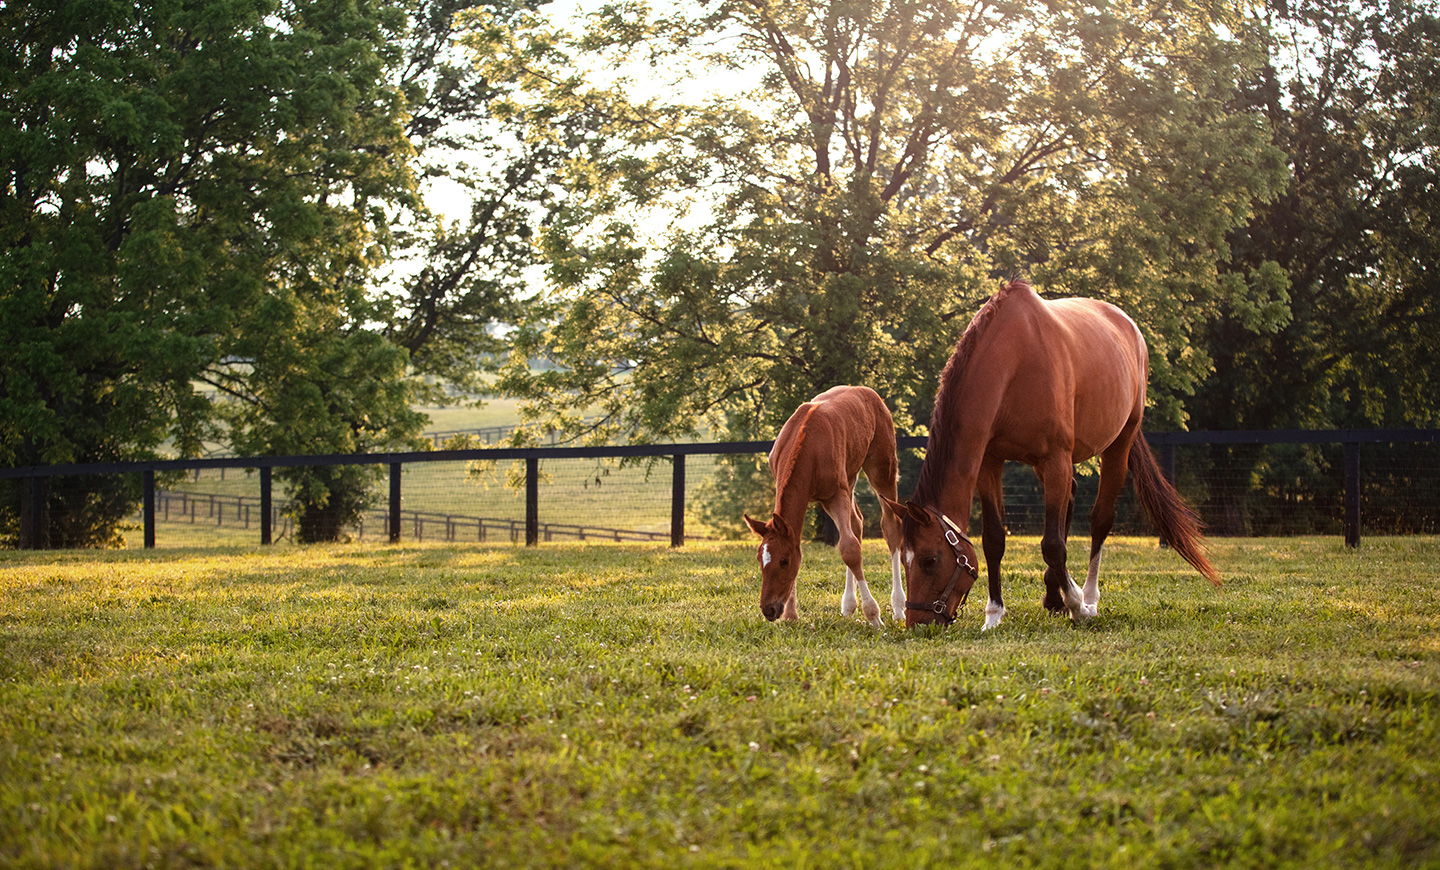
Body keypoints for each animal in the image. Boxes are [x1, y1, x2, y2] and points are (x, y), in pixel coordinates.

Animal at [748, 386, 904, 625]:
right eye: (759, 559)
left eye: (784, 561)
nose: (769, 610)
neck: (806, 444)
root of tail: (868, 392)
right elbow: (809, 542)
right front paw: (792, 615)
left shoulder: (835, 495)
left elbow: (849, 548)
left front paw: (874, 615)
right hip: (850, 476)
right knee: (856, 523)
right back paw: (848, 605)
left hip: (881, 469)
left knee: (890, 526)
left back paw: (898, 607)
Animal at [881, 282, 1221, 628]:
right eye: (905, 561)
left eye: (929, 559)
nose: (918, 622)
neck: (1015, 361)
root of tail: (1129, 327)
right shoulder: (990, 462)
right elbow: (994, 539)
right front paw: (994, 614)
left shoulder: (1056, 459)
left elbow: (1054, 545)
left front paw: (1078, 606)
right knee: (1069, 499)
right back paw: (1054, 593)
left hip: (1118, 444)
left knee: (1100, 519)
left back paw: (1088, 597)